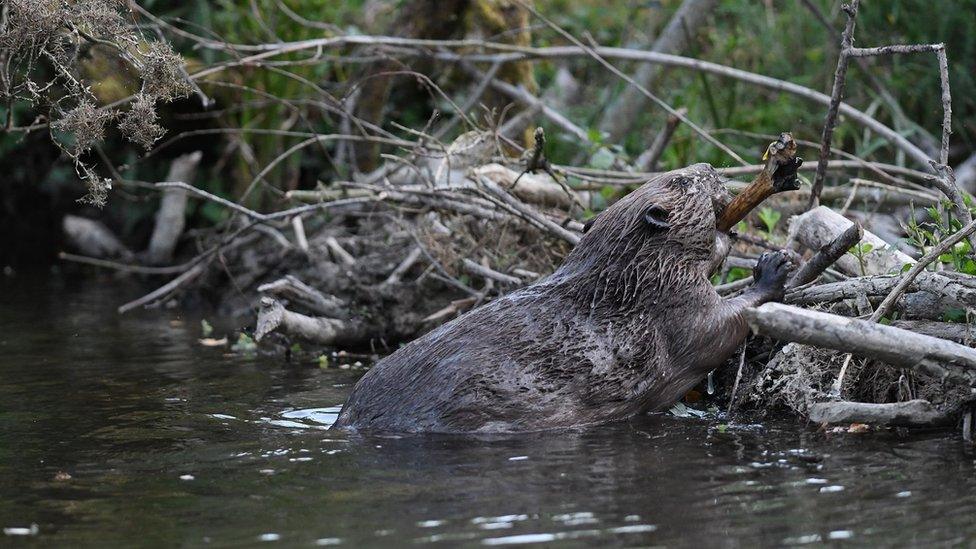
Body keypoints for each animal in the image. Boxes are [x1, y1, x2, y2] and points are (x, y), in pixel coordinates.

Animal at [332, 163, 796, 432]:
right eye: (683, 181)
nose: (708, 165)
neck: (626, 275)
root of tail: (346, 419)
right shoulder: (672, 301)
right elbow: (714, 331)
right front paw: (773, 266)